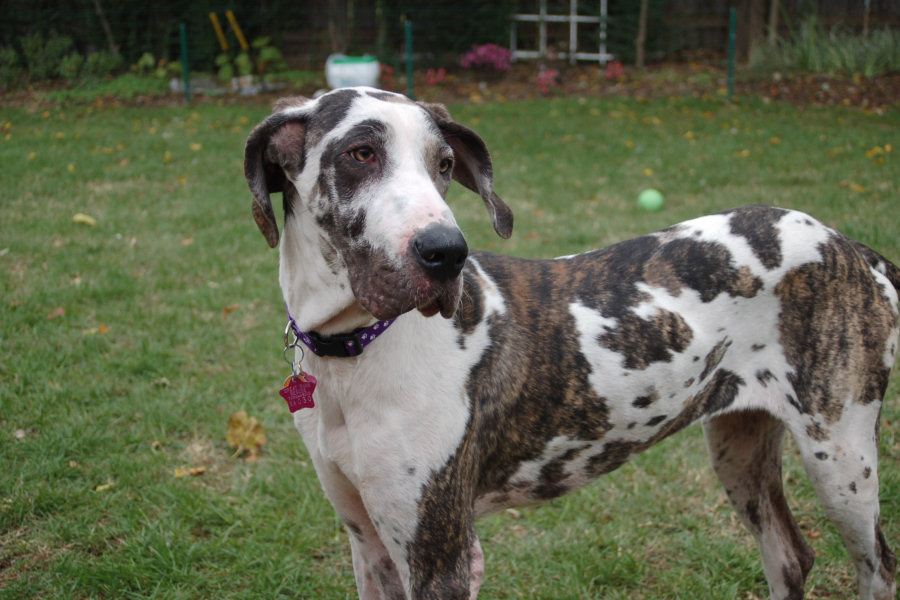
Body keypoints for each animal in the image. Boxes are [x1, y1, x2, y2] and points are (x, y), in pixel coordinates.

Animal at [243, 86, 896, 596]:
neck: (353, 351)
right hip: (740, 450)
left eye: (444, 164)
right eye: (360, 154)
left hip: (842, 461)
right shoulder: (370, 544)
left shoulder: (441, 557)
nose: (447, 252)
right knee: (791, 556)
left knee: (879, 565)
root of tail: (849, 245)